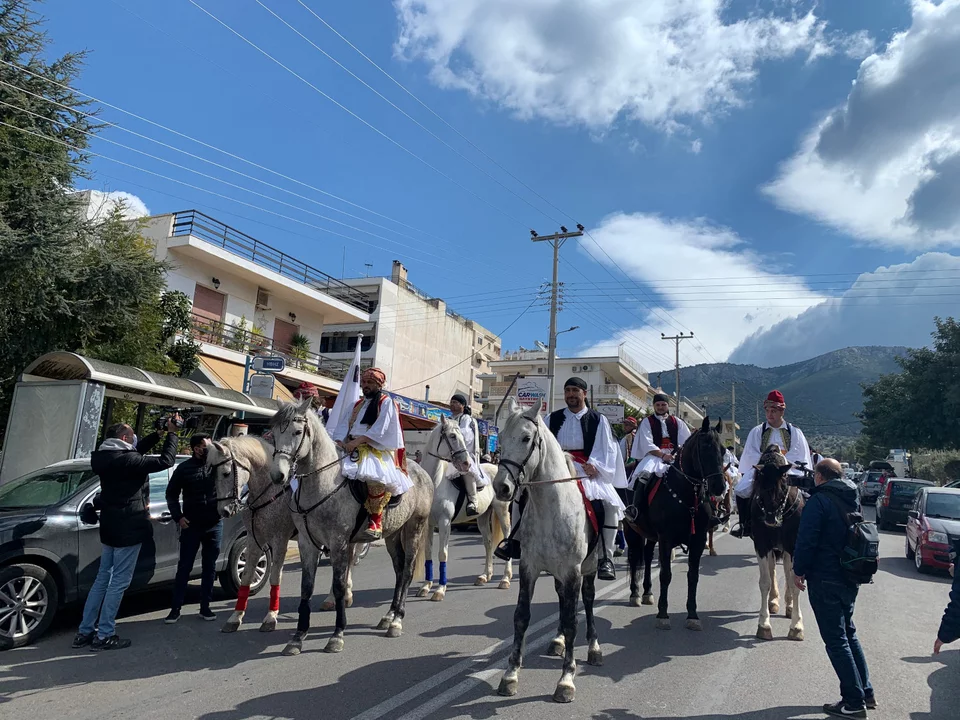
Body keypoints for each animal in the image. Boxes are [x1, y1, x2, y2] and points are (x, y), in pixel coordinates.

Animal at [416, 414, 512, 600]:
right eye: (452, 436)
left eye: (461, 435)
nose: (466, 463)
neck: (436, 482)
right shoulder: (429, 524)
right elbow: (428, 552)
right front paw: (425, 586)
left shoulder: (445, 522)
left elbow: (442, 553)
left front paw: (440, 590)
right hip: (483, 517)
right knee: (488, 543)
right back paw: (485, 576)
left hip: (502, 511)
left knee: (506, 536)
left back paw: (505, 579)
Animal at [496, 394, 600, 704]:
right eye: (500, 438)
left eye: (526, 437)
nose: (501, 487)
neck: (551, 508)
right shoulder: (529, 567)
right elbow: (521, 617)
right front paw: (510, 675)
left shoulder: (573, 571)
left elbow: (572, 619)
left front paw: (566, 679)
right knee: (563, 599)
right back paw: (557, 641)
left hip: (589, 568)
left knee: (587, 601)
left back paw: (594, 647)